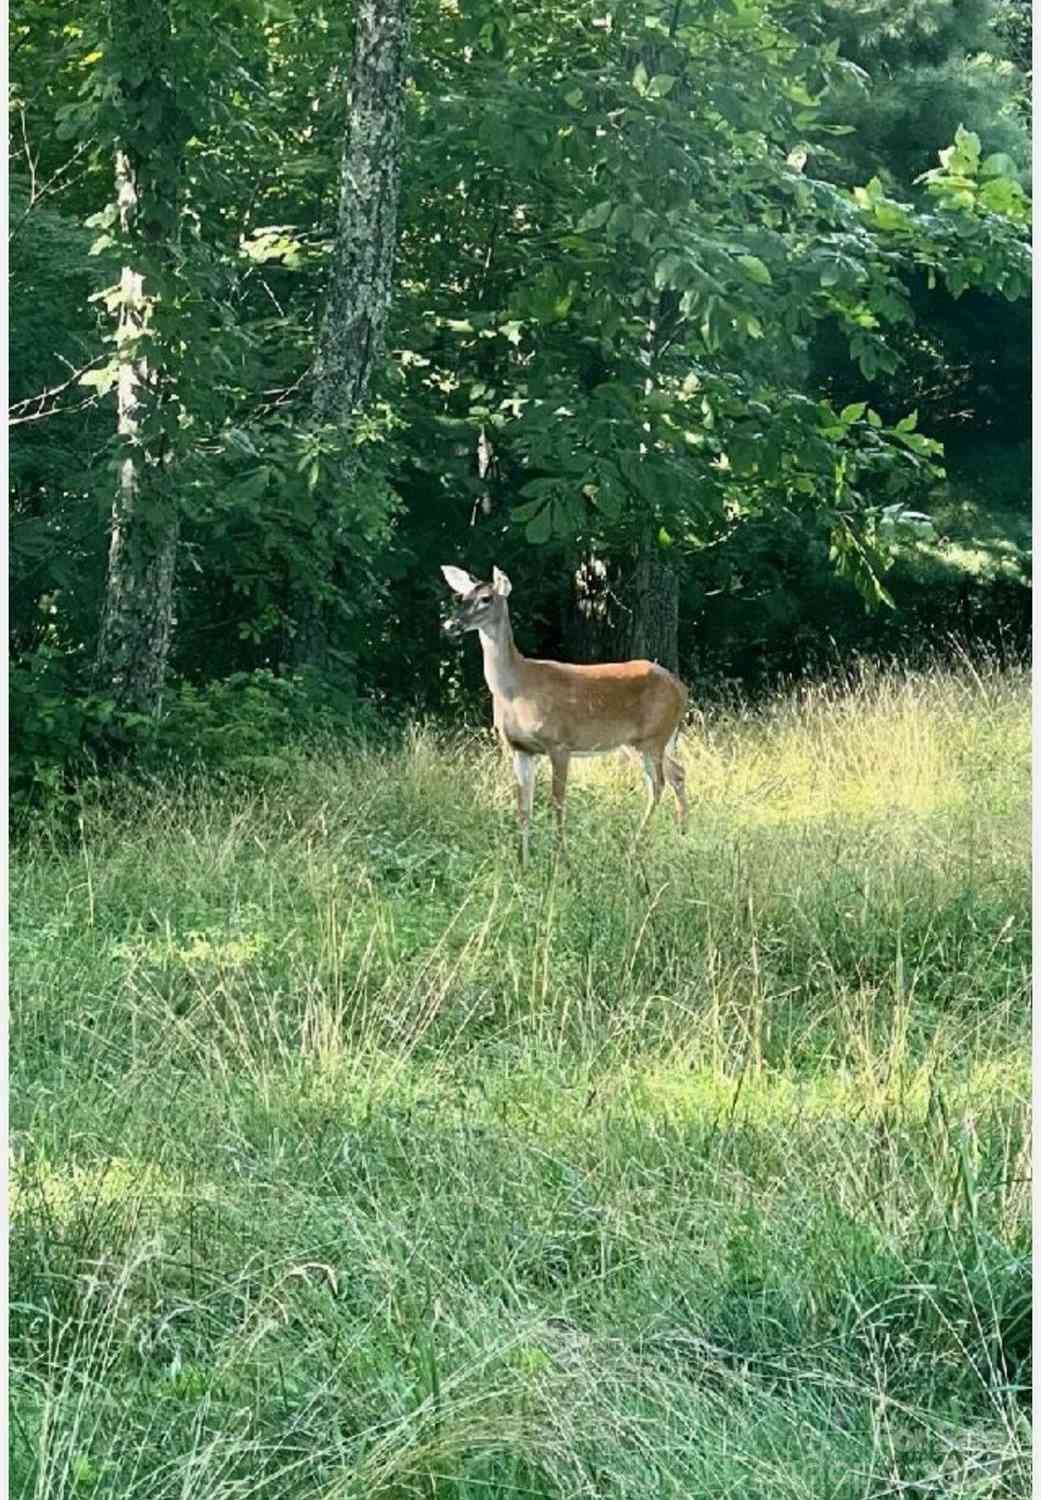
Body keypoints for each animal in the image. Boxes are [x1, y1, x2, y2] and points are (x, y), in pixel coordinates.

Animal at [444, 564, 690, 870]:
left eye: (486, 598)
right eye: (461, 596)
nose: (449, 625)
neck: (517, 689)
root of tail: (681, 688)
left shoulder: (559, 743)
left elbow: (557, 801)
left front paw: (560, 862)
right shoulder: (520, 749)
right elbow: (523, 807)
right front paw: (523, 863)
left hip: (652, 737)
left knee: (658, 784)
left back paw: (634, 850)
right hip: (647, 740)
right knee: (678, 772)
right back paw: (682, 836)